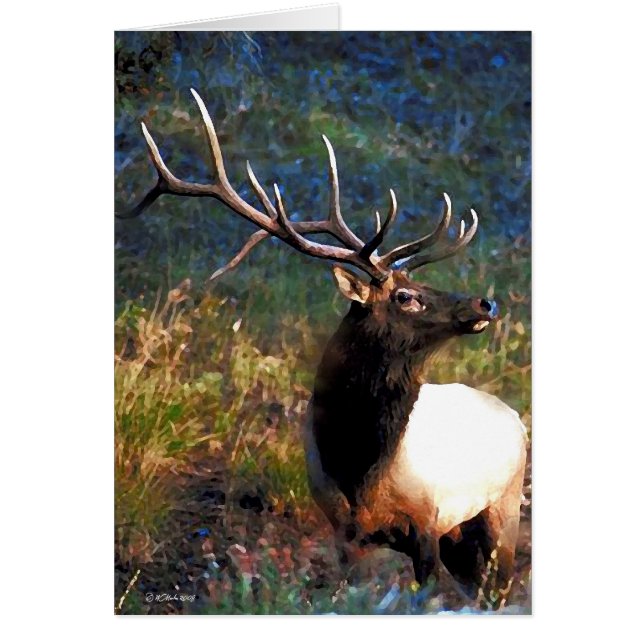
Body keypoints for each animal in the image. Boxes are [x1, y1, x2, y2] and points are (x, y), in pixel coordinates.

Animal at [118, 89, 528, 609]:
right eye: (406, 295)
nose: (484, 302)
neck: (358, 471)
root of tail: (515, 415)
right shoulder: (345, 531)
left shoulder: (427, 522)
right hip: (467, 534)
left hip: (502, 511)